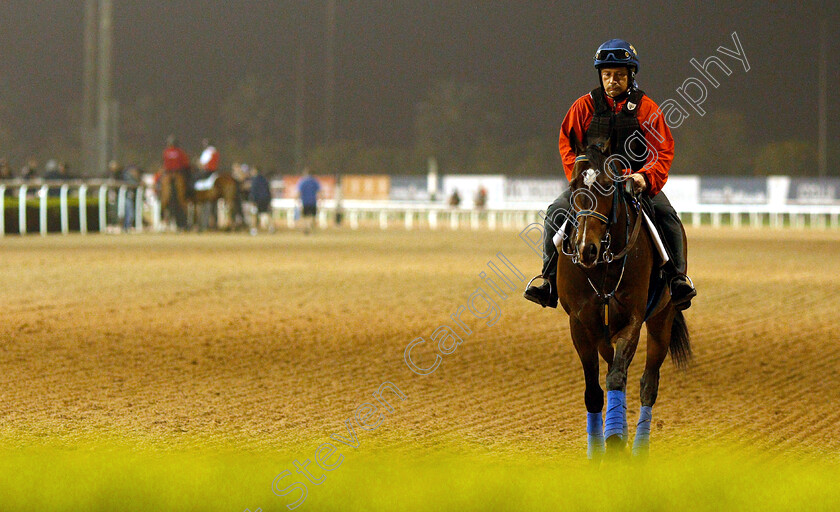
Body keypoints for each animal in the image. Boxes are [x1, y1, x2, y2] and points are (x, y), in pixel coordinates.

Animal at [556, 137, 688, 460]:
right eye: (575, 185)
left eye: (607, 186)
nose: (586, 248)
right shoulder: (580, 323)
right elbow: (595, 390)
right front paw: (598, 451)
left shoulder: (632, 320)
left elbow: (617, 377)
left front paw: (615, 441)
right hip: (603, 331)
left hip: (662, 321)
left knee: (647, 383)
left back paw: (638, 448)